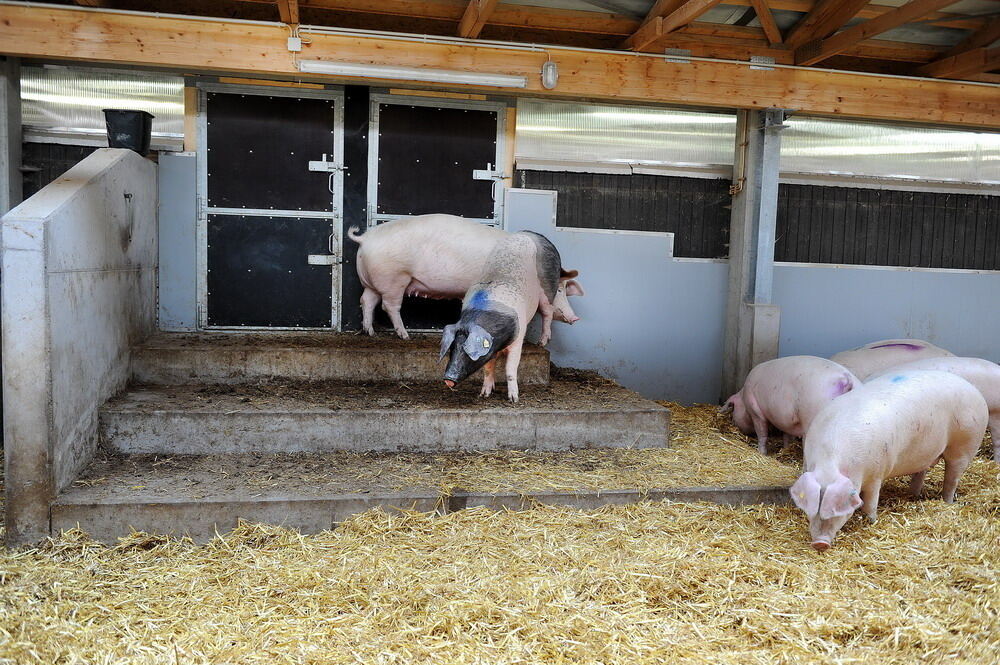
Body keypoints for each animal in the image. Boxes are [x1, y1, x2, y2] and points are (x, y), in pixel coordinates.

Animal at [348, 215, 584, 340]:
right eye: (561, 289)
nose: (575, 318)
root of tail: (365, 239)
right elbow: (545, 311)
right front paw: (543, 342)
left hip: (373, 282)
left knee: (367, 301)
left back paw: (370, 332)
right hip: (395, 278)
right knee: (389, 306)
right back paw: (405, 335)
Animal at [438, 231, 580, 402]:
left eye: (467, 350)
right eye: (453, 347)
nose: (448, 379)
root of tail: (534, 234)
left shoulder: (518, 340)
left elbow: (510, 369)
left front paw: (513, 399)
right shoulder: (491, 348)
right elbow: (488, 368)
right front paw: (484, 394)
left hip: (548, 286)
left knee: (547, 312)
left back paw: (542, 342)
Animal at [720, 356, 860, 454]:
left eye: (733, 410)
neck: (743, 396)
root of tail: (846, 379)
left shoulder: (756, 411)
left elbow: (762, 433)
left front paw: (761, 452)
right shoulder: (788, 420)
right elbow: (787, 435)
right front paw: (786, 449)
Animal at [792, 370, 988, 552]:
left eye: (837, 510)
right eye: (812, 509)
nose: (820, 543)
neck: (830, 461)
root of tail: (975, 391)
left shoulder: (876, 473)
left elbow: (871, 502)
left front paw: (871, 521)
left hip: (965, 444)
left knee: (952, 478)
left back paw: (947, 502)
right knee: (922, 471)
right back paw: (913, 494)